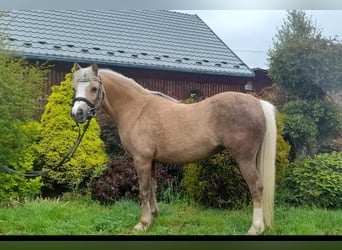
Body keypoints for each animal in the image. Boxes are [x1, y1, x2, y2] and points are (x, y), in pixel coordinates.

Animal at [71, 62, 276, 234]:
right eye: (74, 88)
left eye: (94, 88)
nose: (77, 113)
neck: (137, 109)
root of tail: (258, 103)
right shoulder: (151, 161)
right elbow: (152, 187)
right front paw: (153, 217)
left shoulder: (141, 160)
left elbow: (144, 190)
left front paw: (142, 224)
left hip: (244, 158)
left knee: (257, 188)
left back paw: (255, 228)